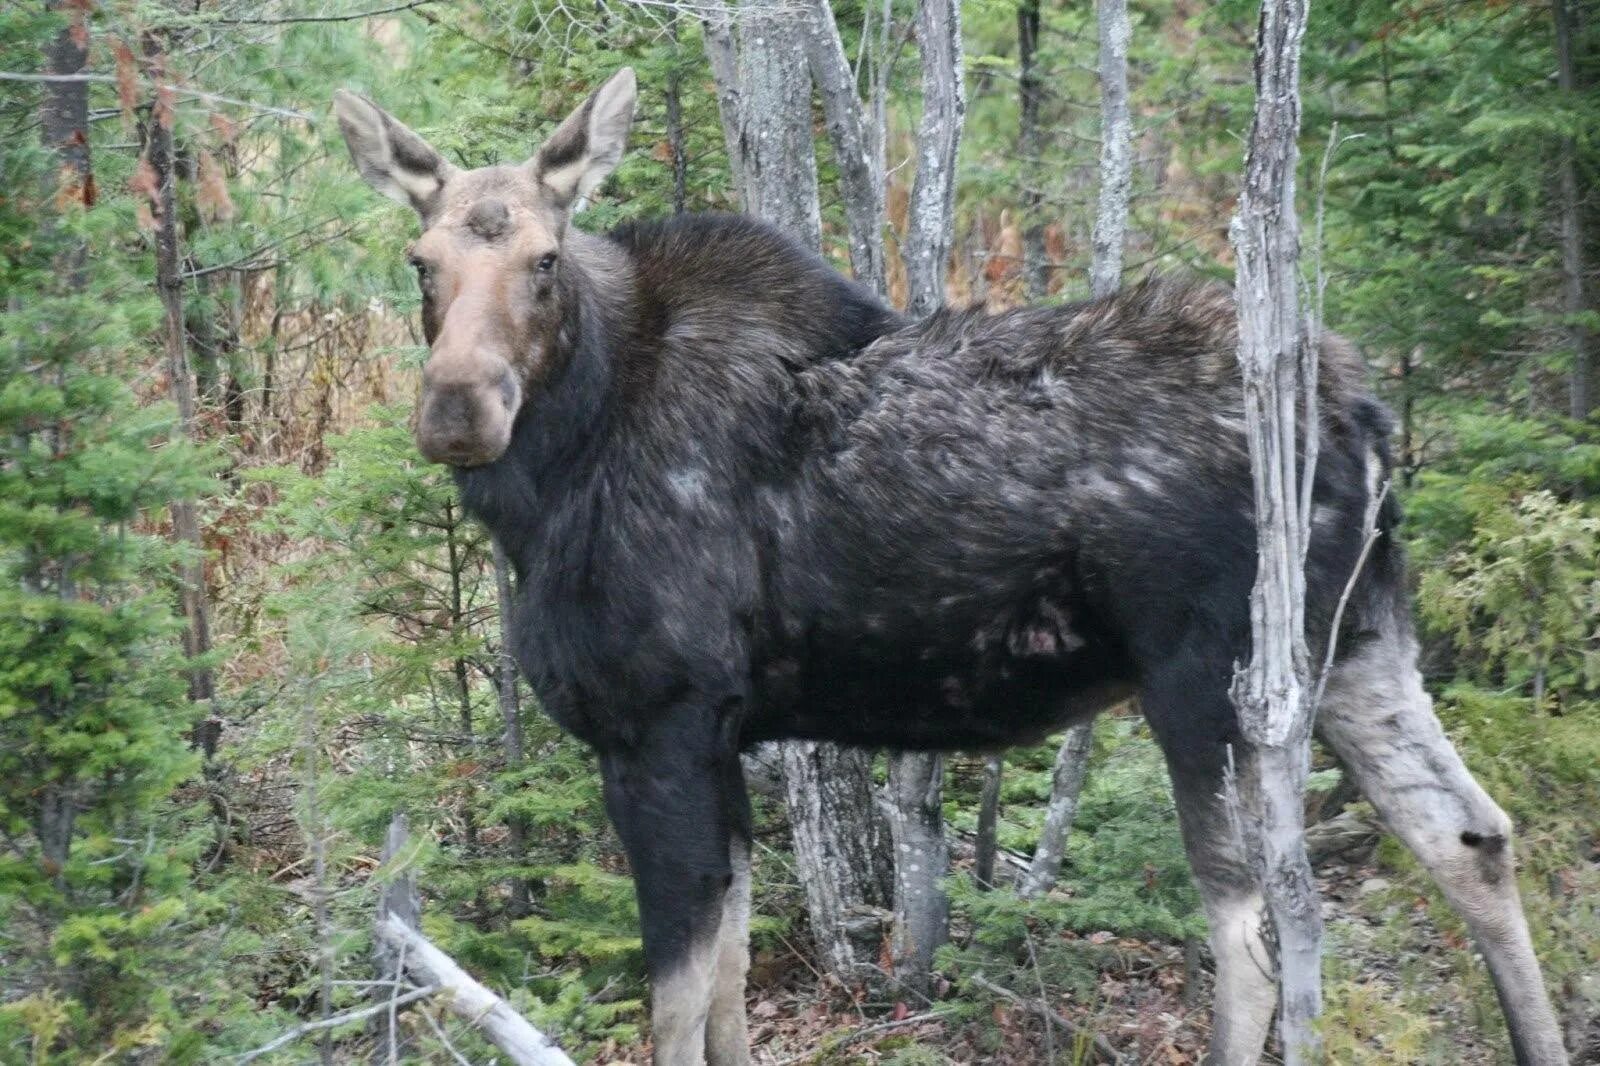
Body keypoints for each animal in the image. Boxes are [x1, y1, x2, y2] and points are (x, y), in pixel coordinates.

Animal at [331, 70, 1568, 1056]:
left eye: (543, 258)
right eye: (420, 260)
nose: (457, 408)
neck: (555, 478)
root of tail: (1364, 412)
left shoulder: (657, 724)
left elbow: (677, 1003)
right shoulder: (720, 736)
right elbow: (727, 985)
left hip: (1209, 677)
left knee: (1261, 928)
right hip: (1357, 640)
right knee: (1470, 835)